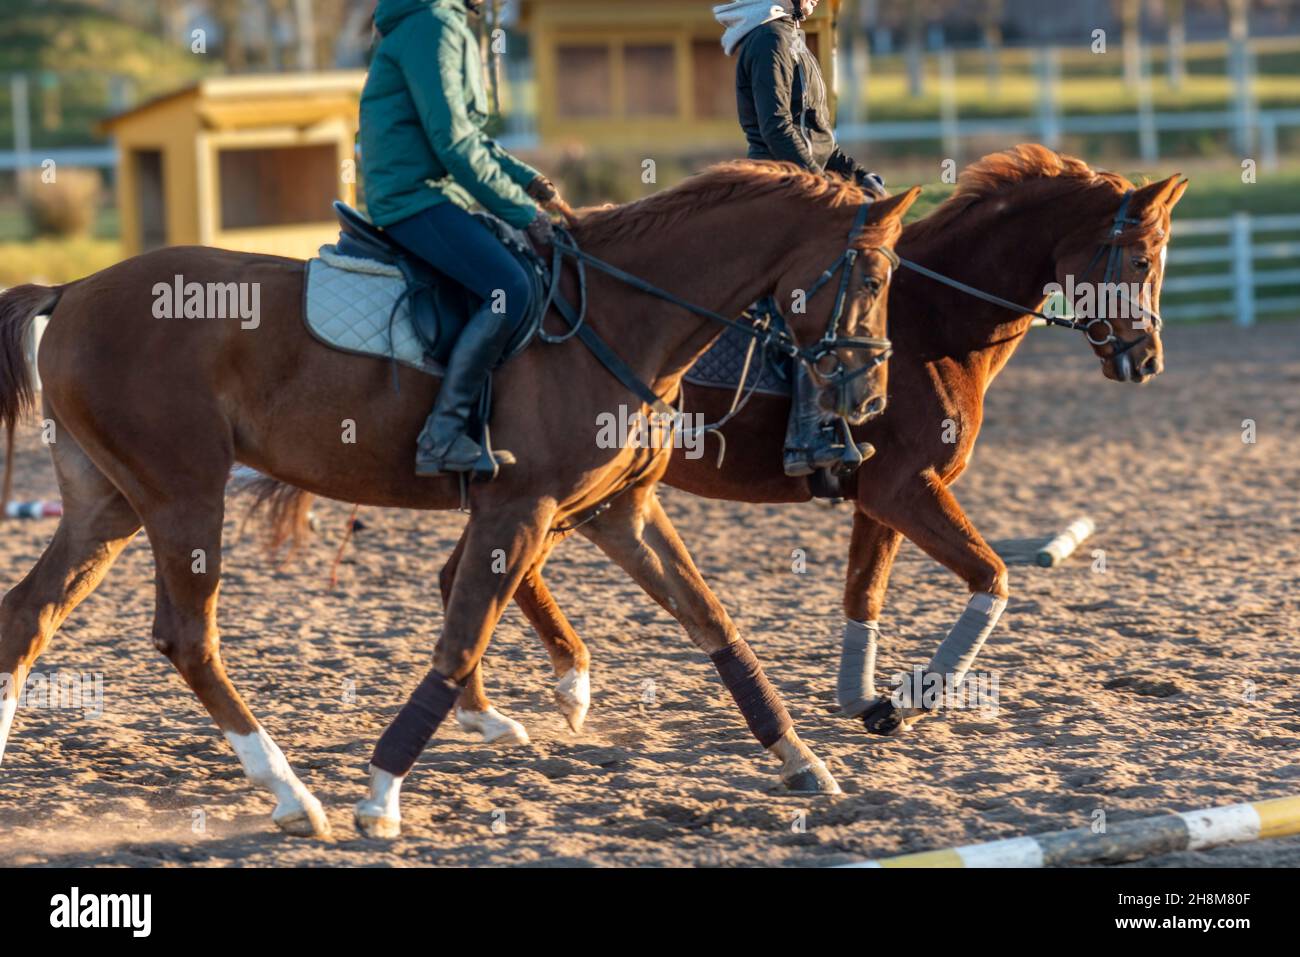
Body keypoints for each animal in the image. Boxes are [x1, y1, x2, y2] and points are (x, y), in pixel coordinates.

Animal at [0, 161, 920, 839]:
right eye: (873, 276)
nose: (870, 397)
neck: (620, 317)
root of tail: (73, 289)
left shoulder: (618, 510)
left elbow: (711, 619)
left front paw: (801, 759)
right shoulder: (522, 506)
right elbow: (464, 629)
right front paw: (381, 794)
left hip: (110, 506)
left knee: (29, 612)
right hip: (183, 495)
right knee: (187, 638)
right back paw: (293, 794)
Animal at [455, 145, 1188, 743]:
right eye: (1142, 259)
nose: (1149, 358)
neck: (931, 321)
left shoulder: (878, 497)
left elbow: (863, 595)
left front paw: (864, 698)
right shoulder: (905, 489)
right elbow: (992, 576)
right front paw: (914, 698)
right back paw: (548, 690)